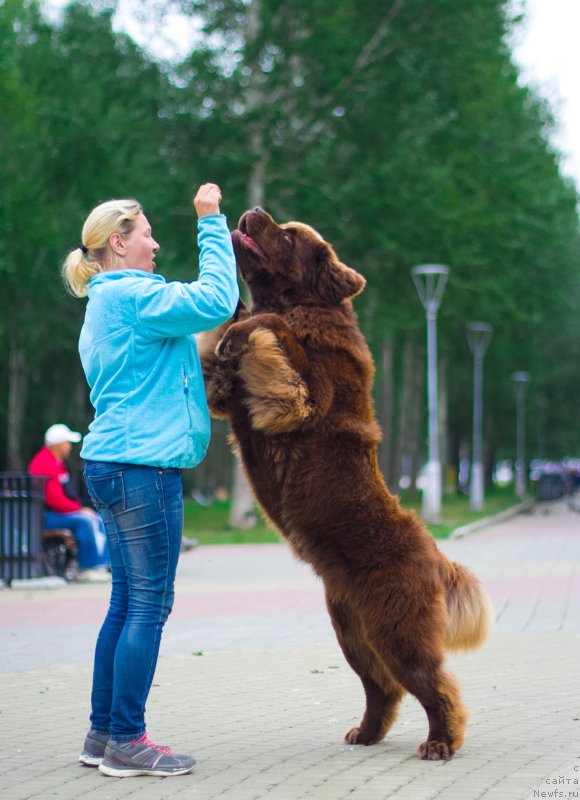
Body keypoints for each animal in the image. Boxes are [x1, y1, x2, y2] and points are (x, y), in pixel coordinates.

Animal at [196, 205, 494, 756]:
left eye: (288, 234)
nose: (253, 210)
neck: (300, 303)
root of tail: (435, 555)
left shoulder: (304, 395)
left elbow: (276, 330)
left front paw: (248, 326)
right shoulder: (228, 392)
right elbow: (230, 337)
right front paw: (228, 321)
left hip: (397, 630)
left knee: (435, 683)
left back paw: (440, 742)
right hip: (352, 631)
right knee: (384, 687)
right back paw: (366, 733)